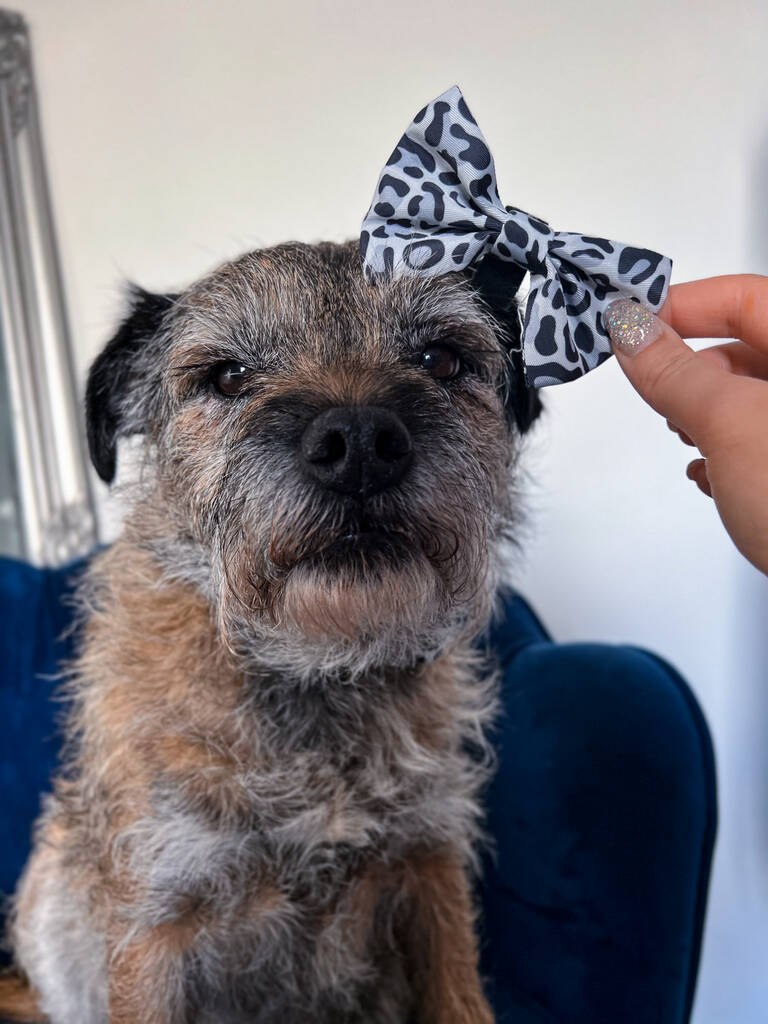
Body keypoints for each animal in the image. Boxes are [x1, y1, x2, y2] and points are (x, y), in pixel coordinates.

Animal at [0, 241, 540, 1024]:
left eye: (441, 359)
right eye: (228, 376)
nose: (359, 443)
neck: (314, 668)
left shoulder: (431, 868)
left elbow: (458, 995)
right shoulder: (154, 922)